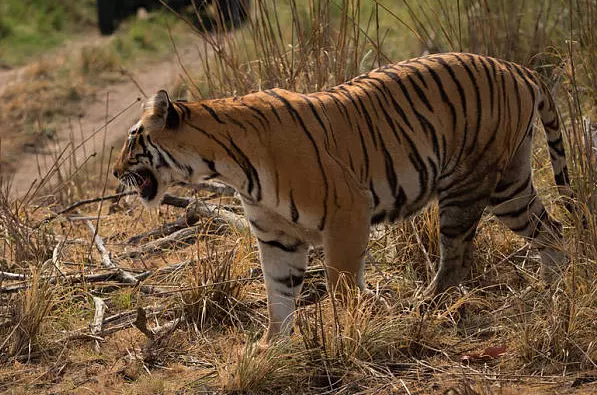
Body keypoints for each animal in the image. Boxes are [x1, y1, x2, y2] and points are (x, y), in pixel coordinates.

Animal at [113, 54, 572, 344]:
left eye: (133, 141)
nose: (115, 173)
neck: (225, 164)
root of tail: (516, 67)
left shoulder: (348, 211)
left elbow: (342, 283)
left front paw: (356, 325)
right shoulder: (277, 236)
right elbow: (278, 295)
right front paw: (269, 348)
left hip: (467, 185)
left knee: (457, 257)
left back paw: (424, 305)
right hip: (509, 186)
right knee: (551, 229)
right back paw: (555, 288)